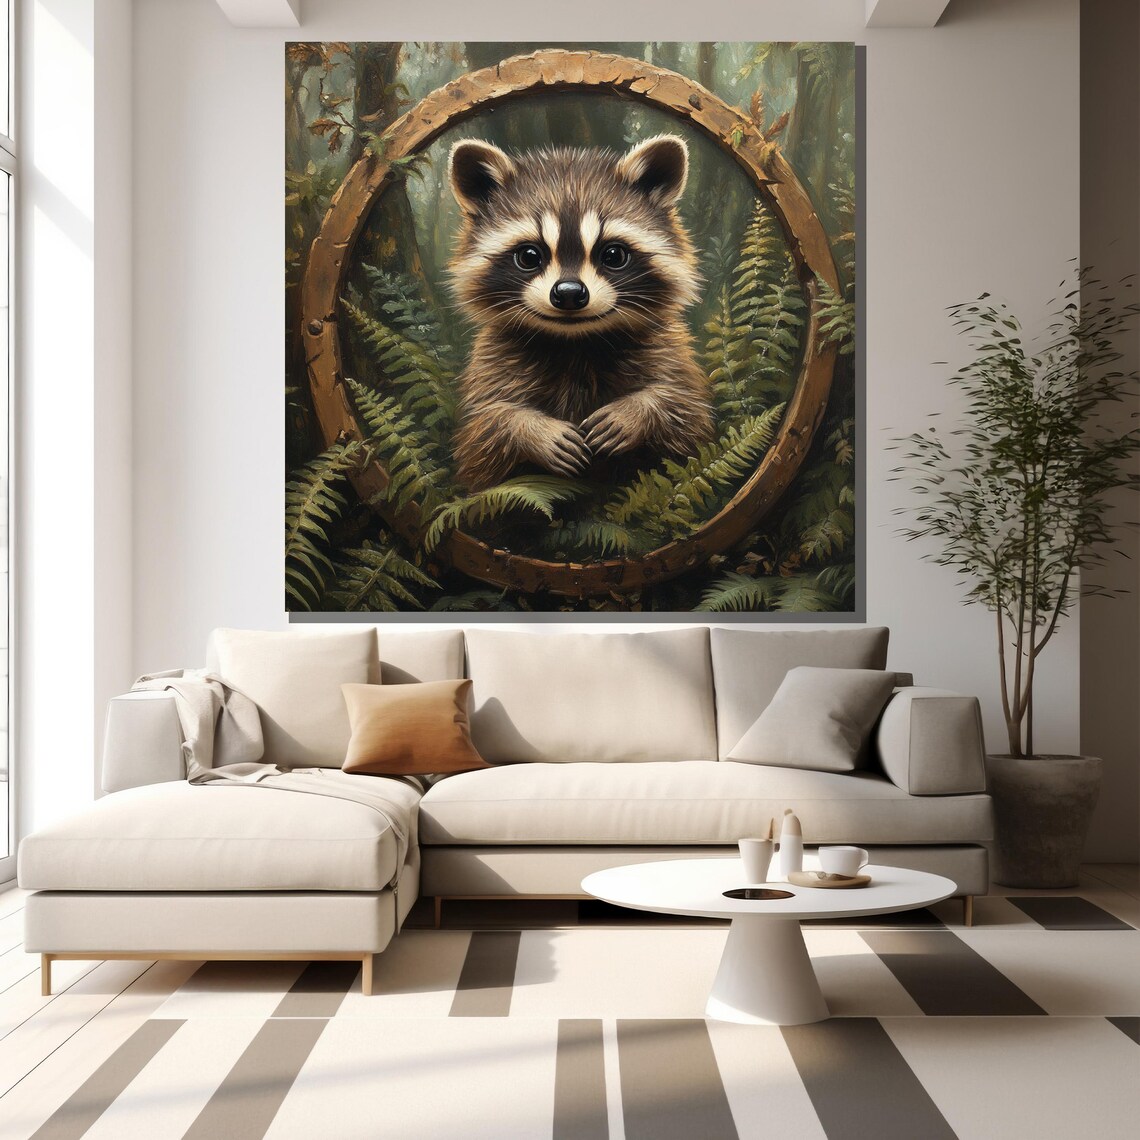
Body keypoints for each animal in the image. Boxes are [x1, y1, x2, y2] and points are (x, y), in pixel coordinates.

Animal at [446, 134, 713, 491]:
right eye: (529, 256)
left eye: (613, 255)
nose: (569, 294)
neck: (575, 342)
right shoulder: (493, 365)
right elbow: (482, 433)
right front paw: (529, 429)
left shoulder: (668, 353)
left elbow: (688, 415)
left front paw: (639, 411)